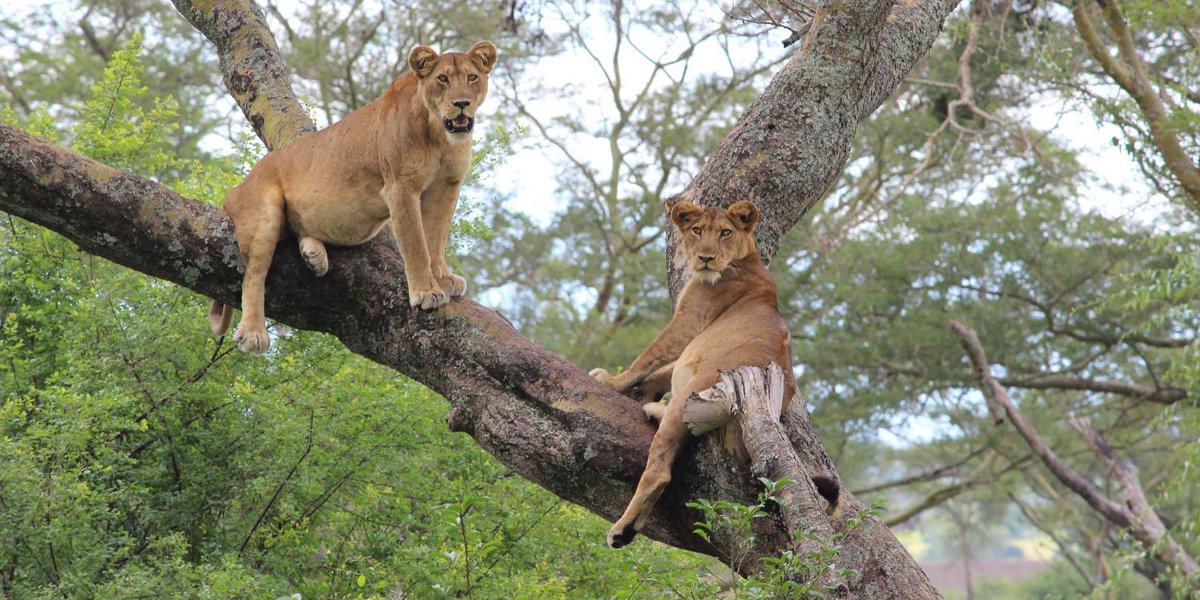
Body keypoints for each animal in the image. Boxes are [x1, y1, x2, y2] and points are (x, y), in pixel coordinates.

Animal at [208, 41, 498, 353]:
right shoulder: (401, 187)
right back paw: (252, 333)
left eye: (472, 78)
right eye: (442, 79)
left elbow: (436, 240)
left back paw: (314, 256)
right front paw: (427, 291)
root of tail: (235, 190)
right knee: (253, 274)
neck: (439, 134)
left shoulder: (447, 187)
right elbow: (417, 244)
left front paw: (443, 279)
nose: (461, 103)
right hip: (263, 213)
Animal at [590, 199, 799, 548]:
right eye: (698, 230)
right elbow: (662, 370)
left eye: (725, 232)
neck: (748, 260)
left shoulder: (687, 323)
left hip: (693, 393)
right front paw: (641, 391)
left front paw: (614, 381)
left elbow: (649, 357)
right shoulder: (695, 346)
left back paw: (622, 530)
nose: (705, 257)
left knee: (660, 469)